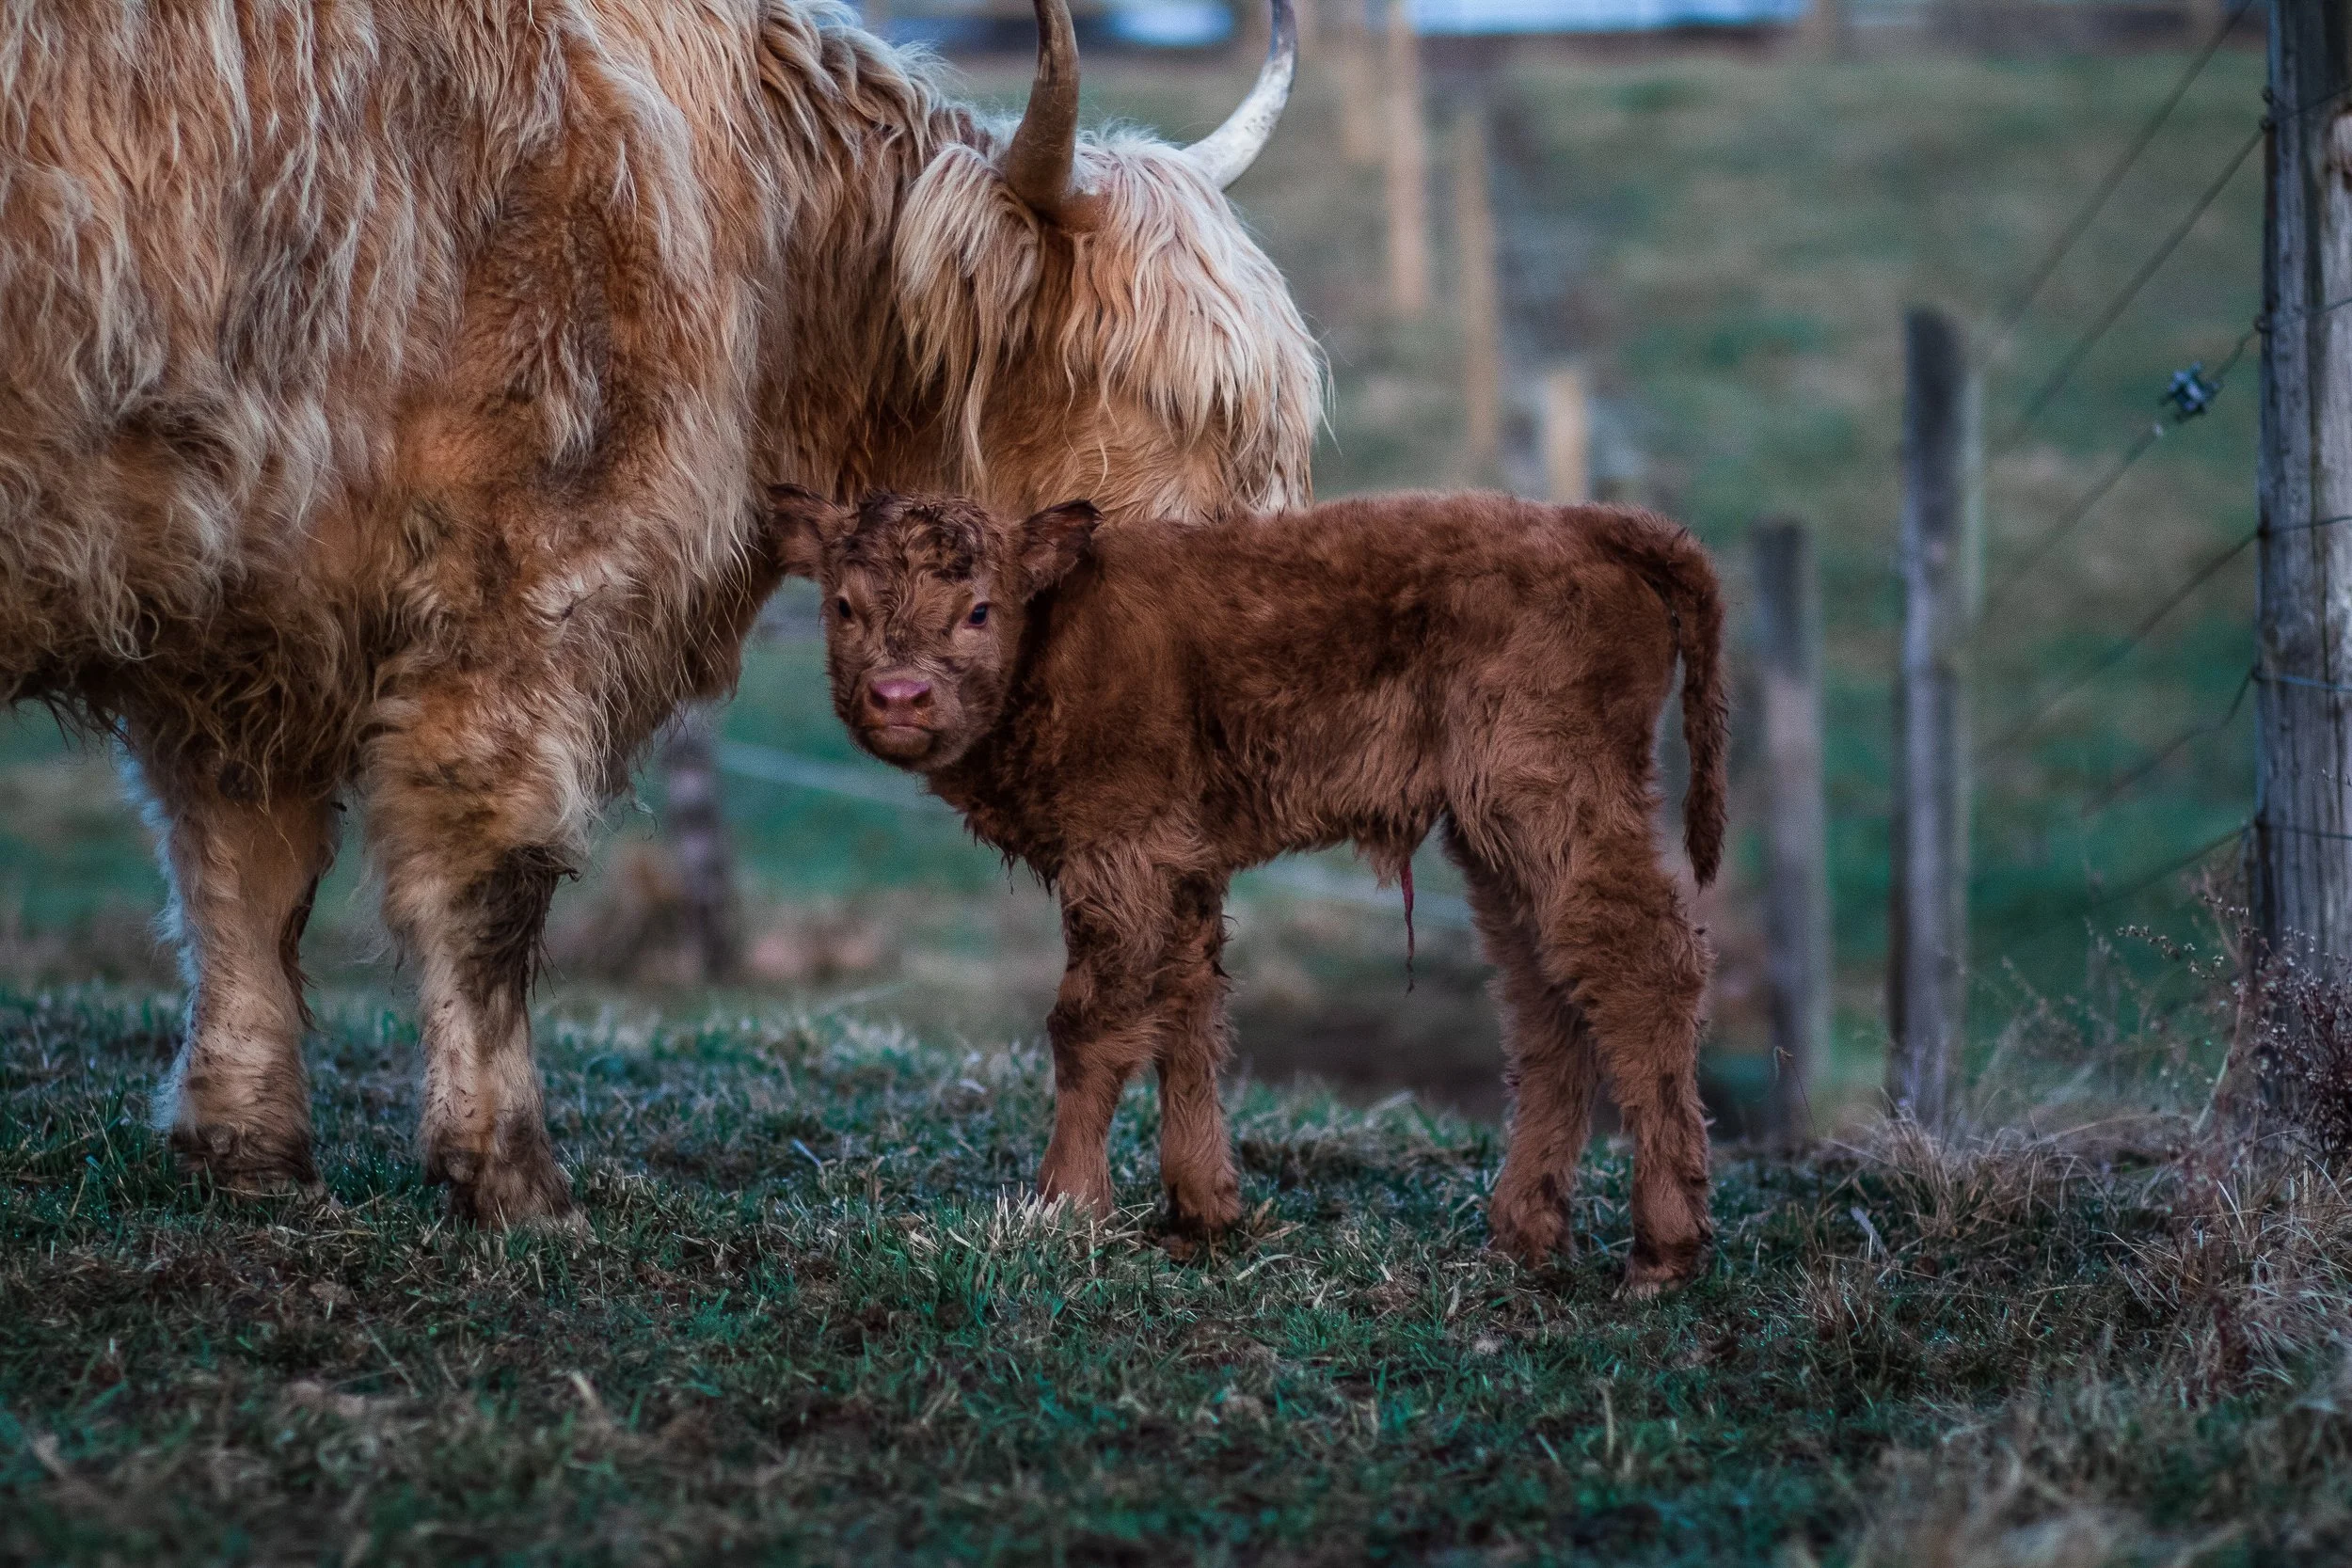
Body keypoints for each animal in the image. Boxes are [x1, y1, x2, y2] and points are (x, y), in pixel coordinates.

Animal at [0, 0, 1321, 1226]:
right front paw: (516, 1179)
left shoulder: (244, 622)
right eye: (1169, 401)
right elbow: (490, 880)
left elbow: (245, 874)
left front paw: (249, 1153)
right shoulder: (530, 590)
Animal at [765, 487, 1728, 1296]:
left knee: (1644, 968)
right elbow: (1186, 1015)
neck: (1059, 636)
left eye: (977, 610)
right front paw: (1201, 1216)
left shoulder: (1124, 853)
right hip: (1497, 839)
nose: (899, 693)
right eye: (844, 605)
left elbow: (1092, 1022)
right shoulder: (1183, 868)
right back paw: (1524, 1235)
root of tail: (1589, 521)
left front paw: (1066, 1208)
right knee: (1545, 997)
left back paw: (1660, 1252)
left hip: (1554, 803)